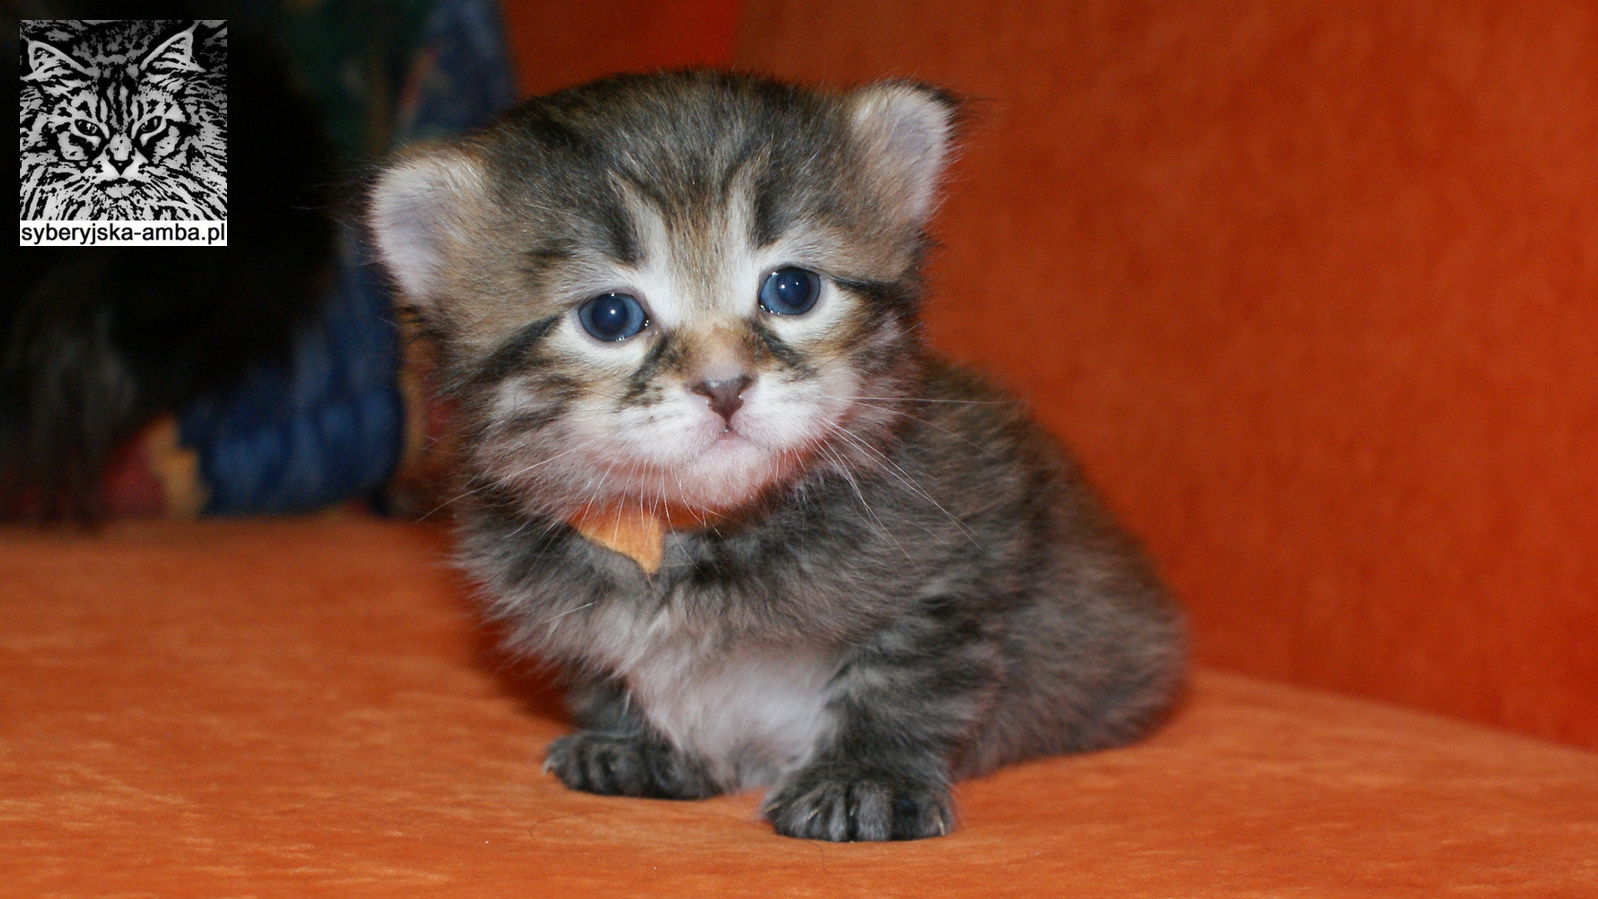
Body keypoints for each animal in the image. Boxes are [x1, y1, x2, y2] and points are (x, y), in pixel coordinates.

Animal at [367, 71, 1185, 841]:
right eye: (610, 315)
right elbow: (614, 678)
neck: (692, 539)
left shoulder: (966, 549)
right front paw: (641, 745)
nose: (724, 384)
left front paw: (866, 777)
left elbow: (903, 677)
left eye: (792, 289)